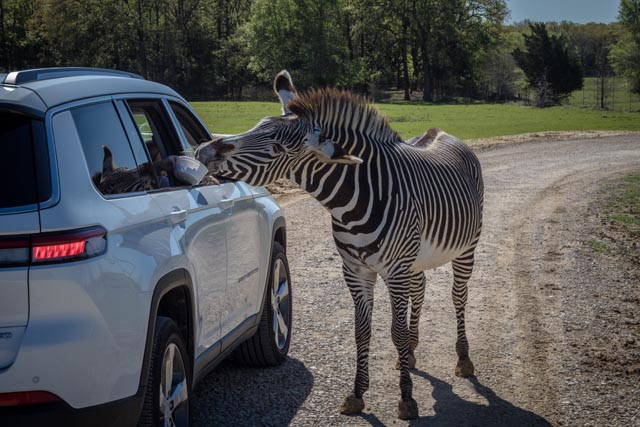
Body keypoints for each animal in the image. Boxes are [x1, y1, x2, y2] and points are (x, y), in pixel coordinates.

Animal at [195, 71, 480, 422]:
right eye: (257, 124)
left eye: (277, 148)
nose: (204, 151)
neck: (354, 204)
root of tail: (440, 132)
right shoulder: (355, 270)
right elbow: (362, 331)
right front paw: (357, 394)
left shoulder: (395, 271)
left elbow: (395, 332)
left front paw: (406, 399)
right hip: (415, 258)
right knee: (422, 288)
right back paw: (411, 355)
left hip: (465, 248)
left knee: (458, 296)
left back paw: (463, 359)